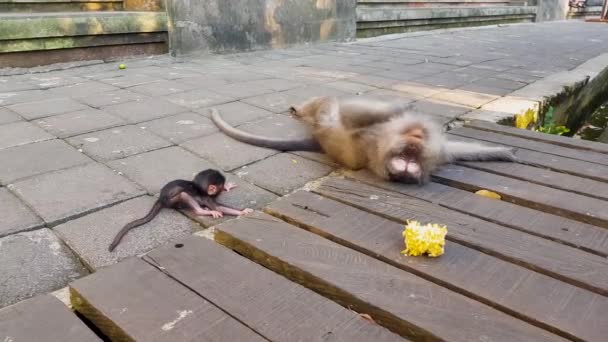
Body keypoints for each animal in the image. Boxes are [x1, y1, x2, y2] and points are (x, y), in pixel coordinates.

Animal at [108, 168, 252, 251]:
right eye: (219, 187)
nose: (222, 188)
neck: (198, 187)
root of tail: (161, 199)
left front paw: (229, 188)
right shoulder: (205, 196)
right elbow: (218, 206)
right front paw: (243, 211)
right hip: (172, 201)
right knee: (183, 194)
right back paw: (203, 211)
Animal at [211, 95, 516, 184]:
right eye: (405, 158)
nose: (413, 145)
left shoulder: (369, 145)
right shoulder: (372, 140)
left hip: (326, 119)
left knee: (328, 106)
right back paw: (300, 111)